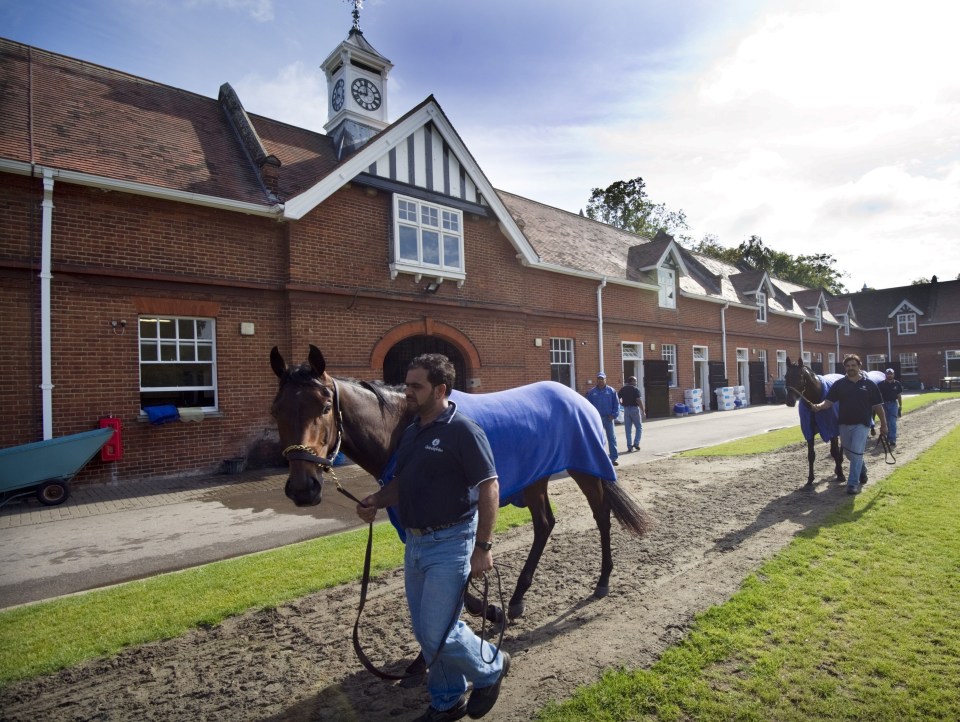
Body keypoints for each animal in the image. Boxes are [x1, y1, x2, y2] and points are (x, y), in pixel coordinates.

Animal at [270, 344, 652, 620]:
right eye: (276, 410)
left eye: (324, 406)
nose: (303, 488)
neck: (406, 426)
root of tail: (578, 398)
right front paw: (487, 608)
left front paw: (486, 608)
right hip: (536, 476)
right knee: (545, 524)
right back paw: (517, 597)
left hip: (584, 468)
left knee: (601, 515)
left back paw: (602, 581)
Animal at [784, 358, 844, 486]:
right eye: (786, 376)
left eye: (800, 376)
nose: (789, 401)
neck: (816, 401)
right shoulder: (809, 432)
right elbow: (811, 455)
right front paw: (810, 478)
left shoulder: (831, 430)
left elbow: (834, 451)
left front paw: (840, 474)